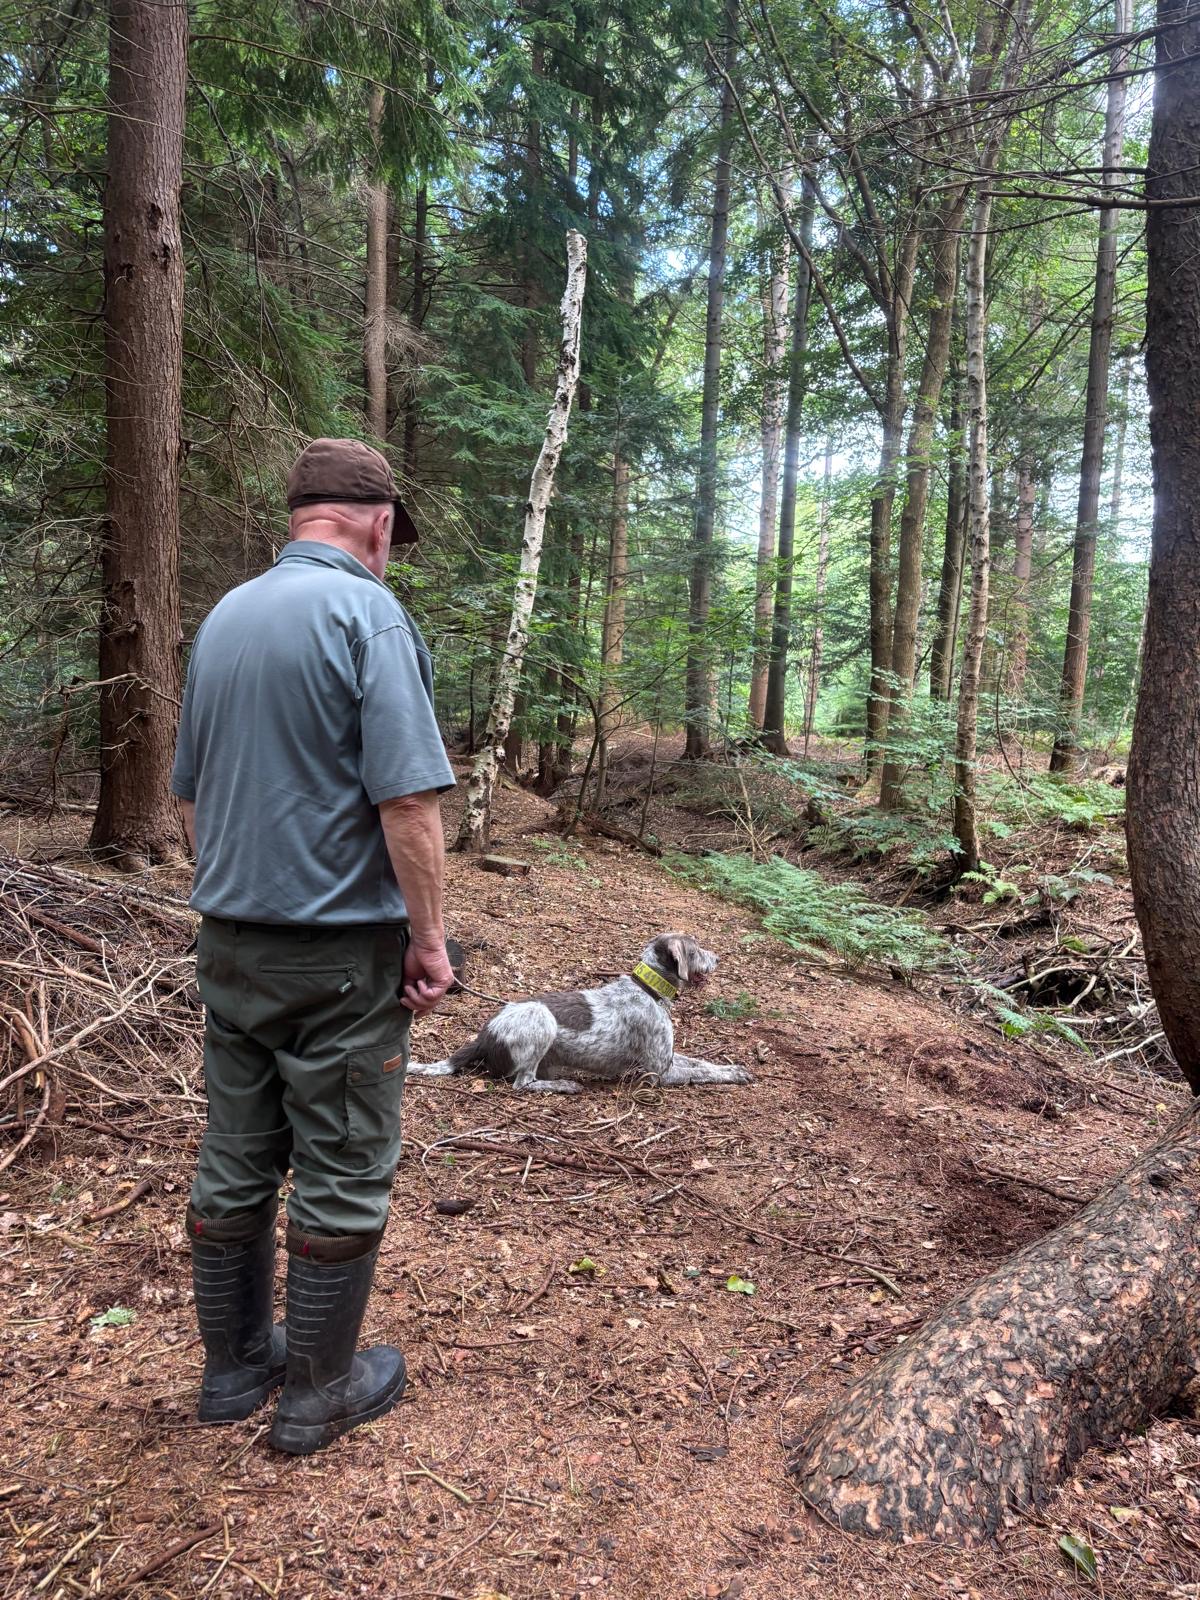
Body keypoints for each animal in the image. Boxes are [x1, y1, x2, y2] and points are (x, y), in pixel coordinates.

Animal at [408, 933, 752, 1094]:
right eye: (695, 950)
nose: (718, 959)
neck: (647, 989)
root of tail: (484, 1034)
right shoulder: (659, 1073)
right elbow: (702, 1073)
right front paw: (731, 1075)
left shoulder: (668, 1056)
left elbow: (702, 1063)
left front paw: (734, 1068)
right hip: (541, 1019)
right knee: (523, 1084)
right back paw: (564, 1086)